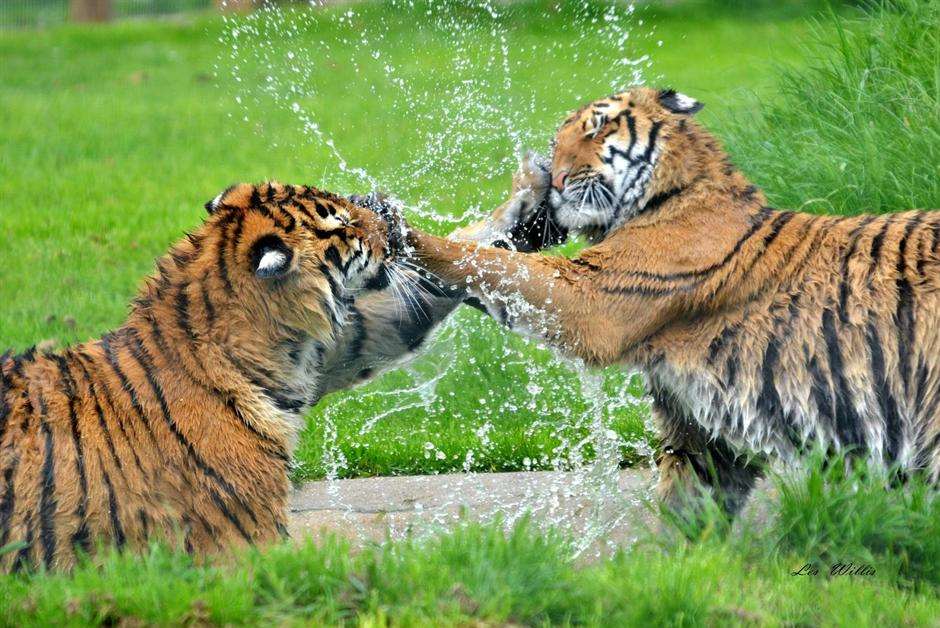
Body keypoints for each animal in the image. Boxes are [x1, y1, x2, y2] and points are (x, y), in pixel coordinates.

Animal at [408, 87, 940, 520]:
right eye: (557, 143)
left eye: (596, 127)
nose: (554, 180)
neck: (674, 193)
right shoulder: (697, 425)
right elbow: (687, 505)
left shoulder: (590, 298)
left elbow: (491, 262)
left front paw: (399, 231)